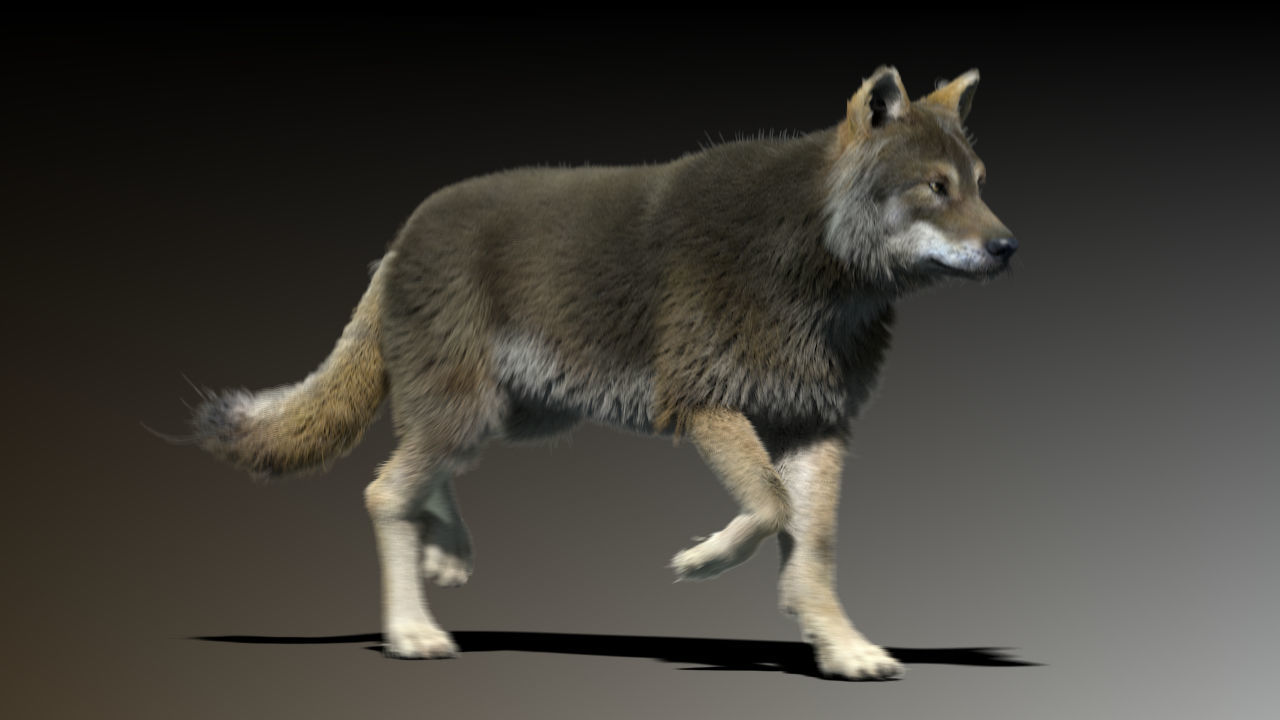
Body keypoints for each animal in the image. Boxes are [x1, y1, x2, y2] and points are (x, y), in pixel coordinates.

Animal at [187, 66, 1016, 681]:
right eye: (936, 187)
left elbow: (815, 545)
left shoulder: (817, 427)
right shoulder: (702, 404)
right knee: (384, 490)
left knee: (422, 471)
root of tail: (400, 237)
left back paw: (448, 553)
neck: (815, 267)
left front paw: (840, 646)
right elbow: (770, 506)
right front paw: (704, 560)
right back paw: (412, 631)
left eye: (978, 182)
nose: (1009, 247)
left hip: (513, 417)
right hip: (475, 411)